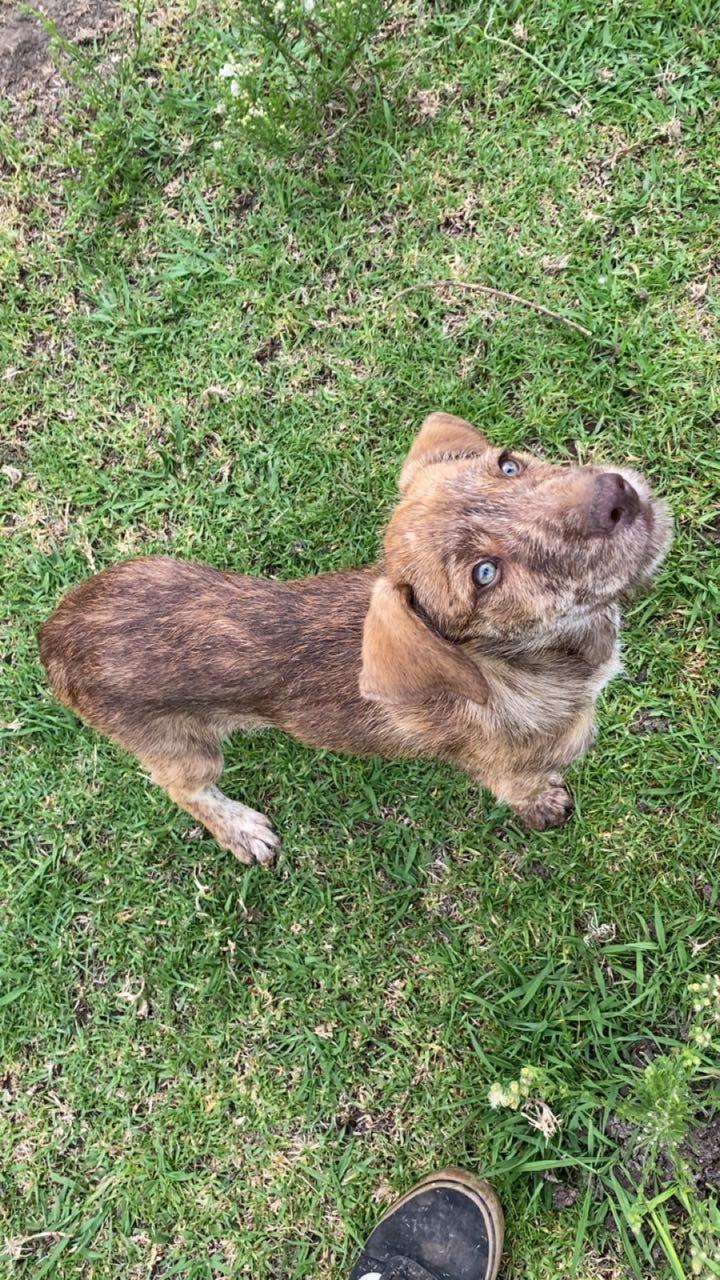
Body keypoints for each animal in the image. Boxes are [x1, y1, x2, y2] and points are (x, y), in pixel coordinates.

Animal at [39, 412, 671, 864]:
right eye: (485, 574)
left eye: (509, 465)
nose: (616, 496)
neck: (527, 662)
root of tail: (53, 636)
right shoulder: (514, 772)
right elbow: (530, 791)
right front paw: (548, 807)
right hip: (183, 748)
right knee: (183, 790)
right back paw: (242, 830)